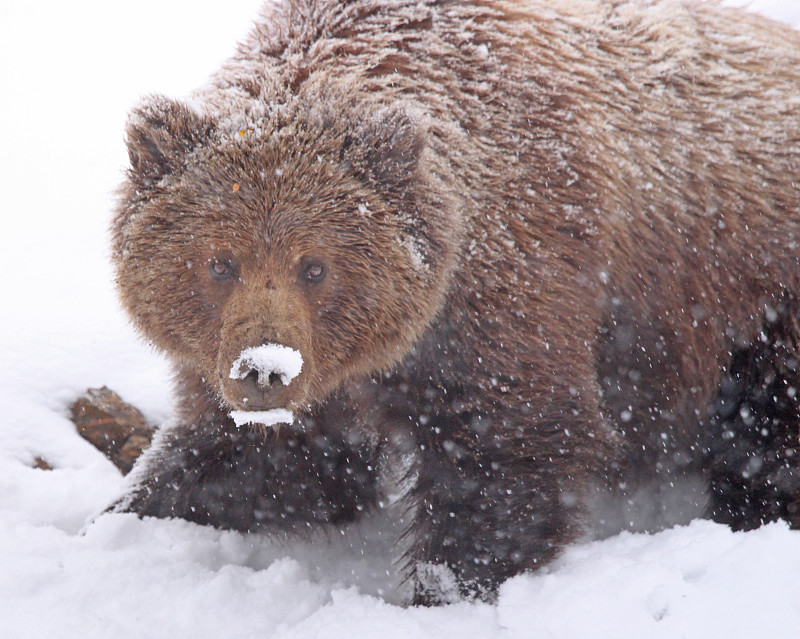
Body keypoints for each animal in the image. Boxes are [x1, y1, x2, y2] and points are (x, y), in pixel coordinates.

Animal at [109, 0, 800, 604]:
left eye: (315, 265)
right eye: (219, 262)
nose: (264, 371)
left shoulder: (515, 282)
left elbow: (504, 450)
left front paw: (441, 591)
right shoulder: (280, 368)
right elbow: (277, 463)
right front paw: (132, 509)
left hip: (752, 301)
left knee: (766, 436)